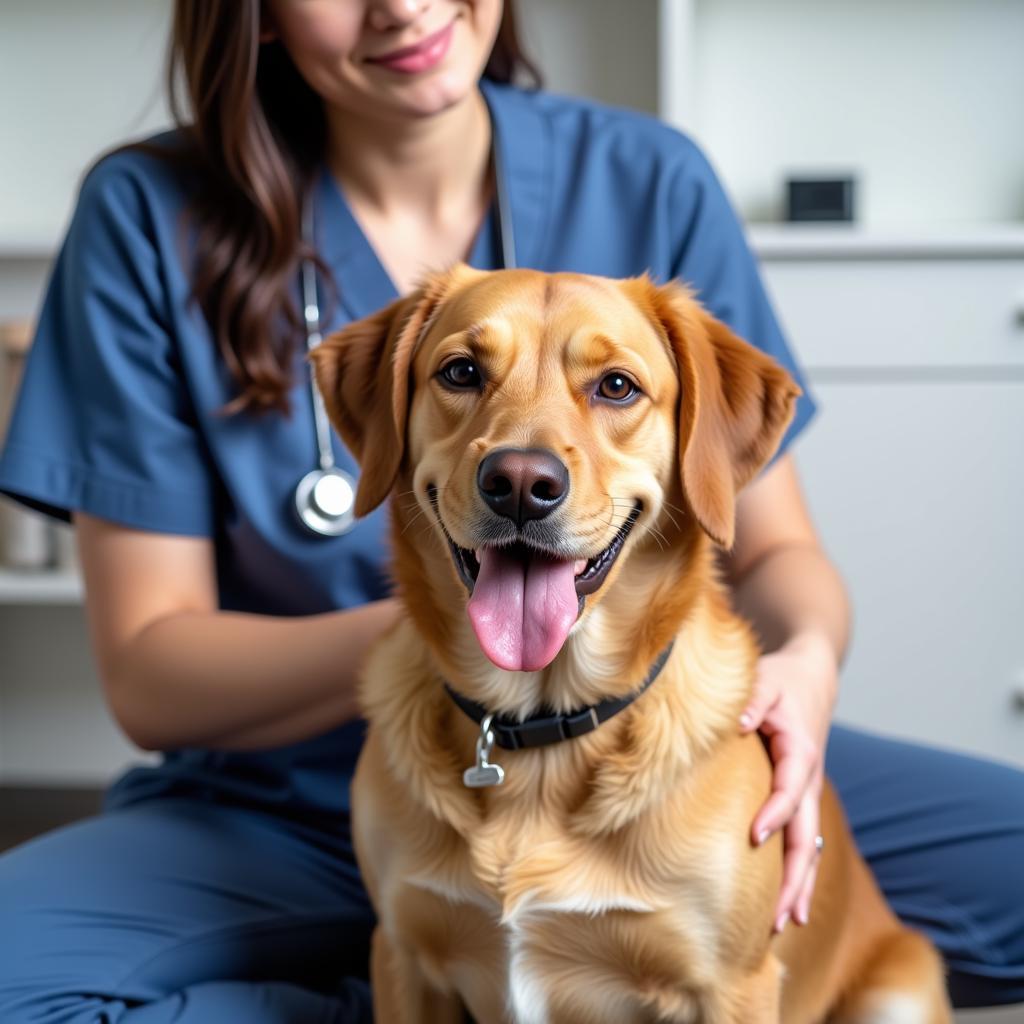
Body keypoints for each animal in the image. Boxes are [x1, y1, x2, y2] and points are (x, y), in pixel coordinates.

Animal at [311, 266, 950, 1024]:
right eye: (461, 372)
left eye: (616, 386)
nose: (520, 484)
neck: (541, 730)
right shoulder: (403, 955)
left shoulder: (731, 985)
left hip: (899, 989)